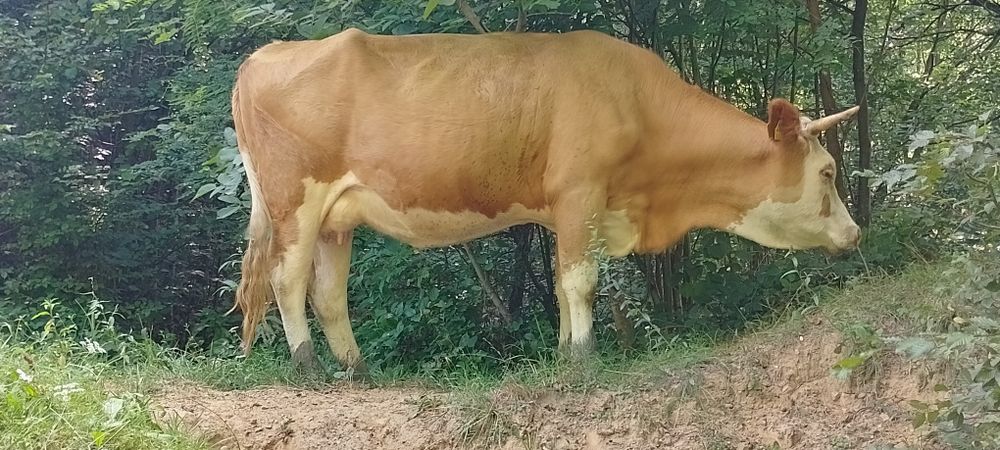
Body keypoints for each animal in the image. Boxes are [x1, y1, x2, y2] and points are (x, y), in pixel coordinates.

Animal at [230, 28, 861, 377]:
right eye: (828, 171)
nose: (854, 234)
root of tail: (265, 55)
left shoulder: (565, 209)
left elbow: (560, 283)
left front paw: (561, 353)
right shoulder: (580, 192)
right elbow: (581, 282)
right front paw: (583, 360)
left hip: (336, 218)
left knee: (328, 293)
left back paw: (358, 371)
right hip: (294, 201)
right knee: (287, 282)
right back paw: (308, 367)